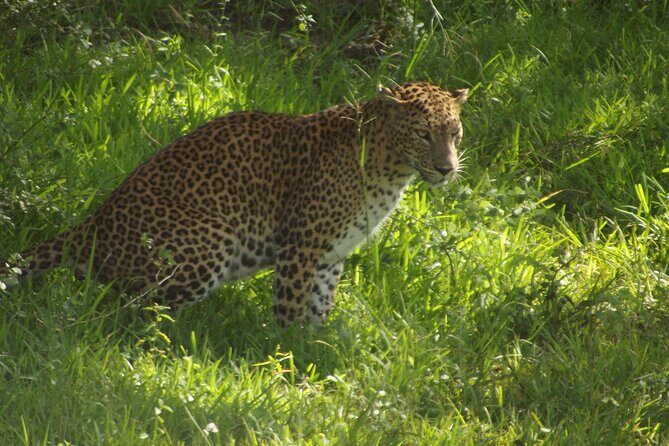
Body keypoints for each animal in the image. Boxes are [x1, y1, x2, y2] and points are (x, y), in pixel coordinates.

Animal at [1, 81, 468, 327]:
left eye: (455, 133)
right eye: (423, 134)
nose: (447, 169)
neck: (392, 170)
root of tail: (93, 221)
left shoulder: (331, 253)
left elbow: (320, 304)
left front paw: (317, 346)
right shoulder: (301, 246)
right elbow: (292, 305)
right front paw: (287, 353)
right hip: (212, 240)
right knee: (128, 307)